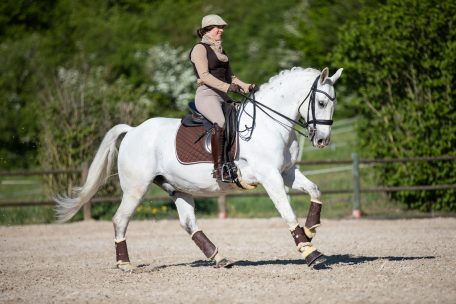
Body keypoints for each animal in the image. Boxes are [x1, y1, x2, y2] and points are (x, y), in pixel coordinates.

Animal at [55, 66, 342, 270]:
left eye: (333, 103)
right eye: (321, 103)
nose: (322, 141)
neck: (270, 125)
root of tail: (134, 130)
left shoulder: (287, 172)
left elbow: (315, 190)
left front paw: (310, 229)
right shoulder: (270, 176)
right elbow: (287, 213)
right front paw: (310, 252)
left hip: (177, 187)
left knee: (188, 223)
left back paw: (219, 257)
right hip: (136, 188)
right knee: (120, 219)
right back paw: (124, 264)